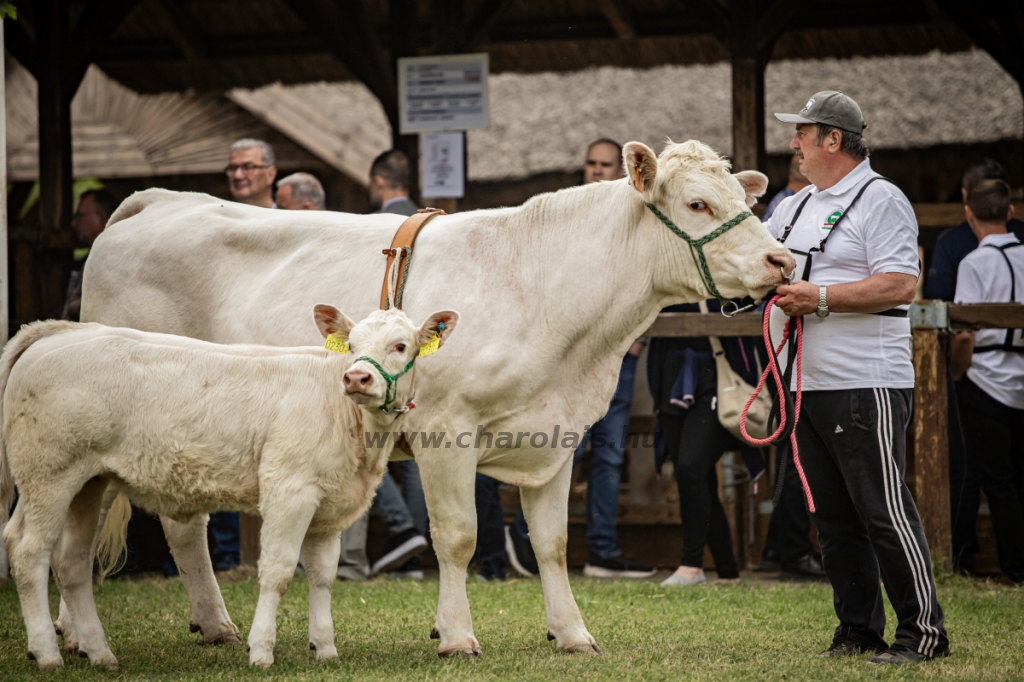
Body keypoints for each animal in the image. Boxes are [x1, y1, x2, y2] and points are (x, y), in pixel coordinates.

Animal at [0, 305, 456, 667]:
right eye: (353, 343)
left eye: (400, 346)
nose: (357, 378)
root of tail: (62, 331)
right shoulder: (289, 490)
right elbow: (278, 571)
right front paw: (262, 650)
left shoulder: (328, 506)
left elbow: (323, 576)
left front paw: (325, 648)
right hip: (49, 475)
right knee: (28, 551)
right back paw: (47, 654)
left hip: (90, 483)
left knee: (71, 560)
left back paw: (100, 653)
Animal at [81, 138, 798, 655]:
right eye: (698, 205)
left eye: (743, 199)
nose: (783, 263)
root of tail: (158, 200)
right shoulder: (446, 432)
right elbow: (457, 536)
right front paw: (455, 634)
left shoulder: (557, 434)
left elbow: (551, 543)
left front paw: (571, 633)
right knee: (169, 525)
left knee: (182, 524)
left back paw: (210, 625)